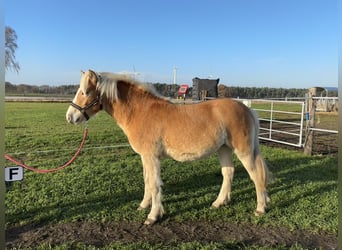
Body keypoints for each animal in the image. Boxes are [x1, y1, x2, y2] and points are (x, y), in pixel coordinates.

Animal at [66, 69, 270, 225]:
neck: (140, 112)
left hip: (243, 151)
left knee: (256, 175)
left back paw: (260, 208)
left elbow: (154, 184)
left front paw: (153, 216)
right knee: (228, 173)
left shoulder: (152, 157)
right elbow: (147, 181)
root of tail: (246, 108)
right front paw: (143, 205)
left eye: (85, 92)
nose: (70, 117)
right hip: (224, 149)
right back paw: (219, 202)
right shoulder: (145, 157)